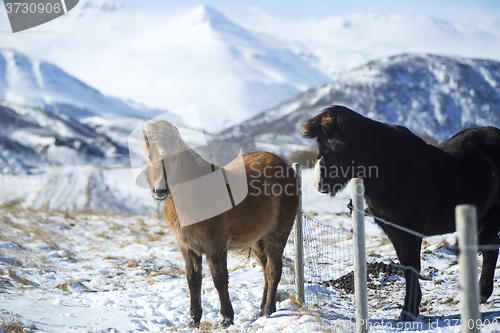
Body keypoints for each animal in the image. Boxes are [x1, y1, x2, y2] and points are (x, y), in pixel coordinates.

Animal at [144, 119, 300, 326]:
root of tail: (285, 165)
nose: (160, 190)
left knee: (274, 270)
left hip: (277, 236)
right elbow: (193, 280)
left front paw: (227, 318)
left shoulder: (215, 246)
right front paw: (194, 320)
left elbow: (219, 279)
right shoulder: (188, 248)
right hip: (258, 240)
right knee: (266, 270)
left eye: (174, 158)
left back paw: (268, 310)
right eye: (149, 157)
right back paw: (262, 309)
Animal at [302, 105, 500, 320]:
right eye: (319, 143)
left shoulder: (410, 231)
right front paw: (410, 308)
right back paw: (481, 293)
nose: (319, 183)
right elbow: (406, 266)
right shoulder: (393, 231)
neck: (392, 170)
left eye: (338, 144)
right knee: (490, 249)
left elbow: (412, 267)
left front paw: (408, 311)